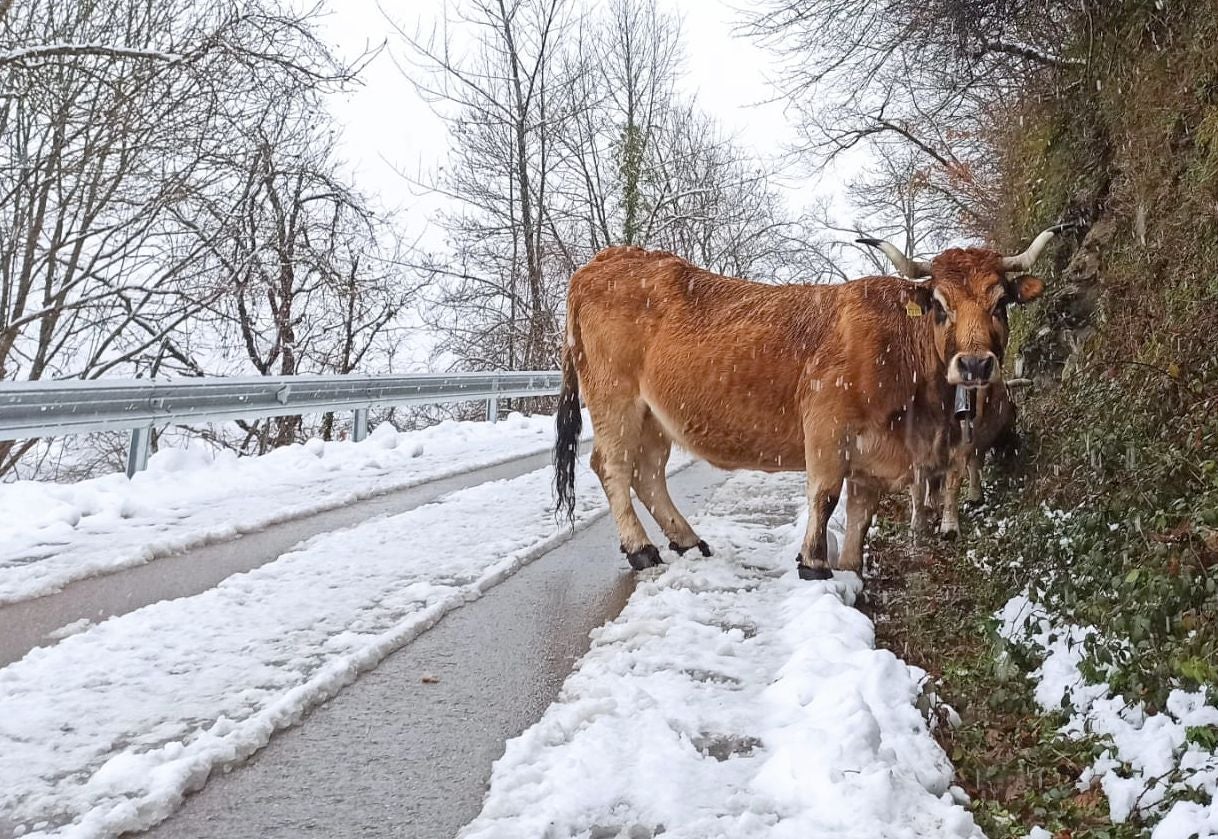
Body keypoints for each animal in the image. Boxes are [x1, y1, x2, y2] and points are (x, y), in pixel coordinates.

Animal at [552, 230, 1057, 582]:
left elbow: (861, 511)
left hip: (655, 416)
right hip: (614, 399)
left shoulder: (874, 453)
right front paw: (814, 562)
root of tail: (604, 260)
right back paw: (641, 549)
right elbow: (826, 495)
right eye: (939, 303)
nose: (974, 363)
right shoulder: (827, 426)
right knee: (613, 466)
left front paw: (851, 568)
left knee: (648, 473)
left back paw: (689, 541)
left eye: (1001, 302)